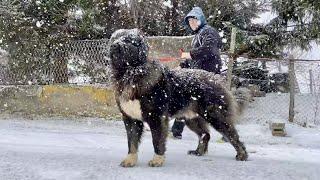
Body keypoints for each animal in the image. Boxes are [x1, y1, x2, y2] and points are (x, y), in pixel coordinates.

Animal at [107, 28, 248, 167]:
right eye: (114, 39)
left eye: (128, 40)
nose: (114, 45)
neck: (131, 73)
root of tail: (216, 79)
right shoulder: (130, 118)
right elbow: (132, 141)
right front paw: (130, 159)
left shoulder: (157, 117)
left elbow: (157, 140)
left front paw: (158, 159)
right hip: (192, 118)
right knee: (205, 134)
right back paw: (198, 152)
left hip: (215, 115)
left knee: (233, 135)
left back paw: (242, 155)